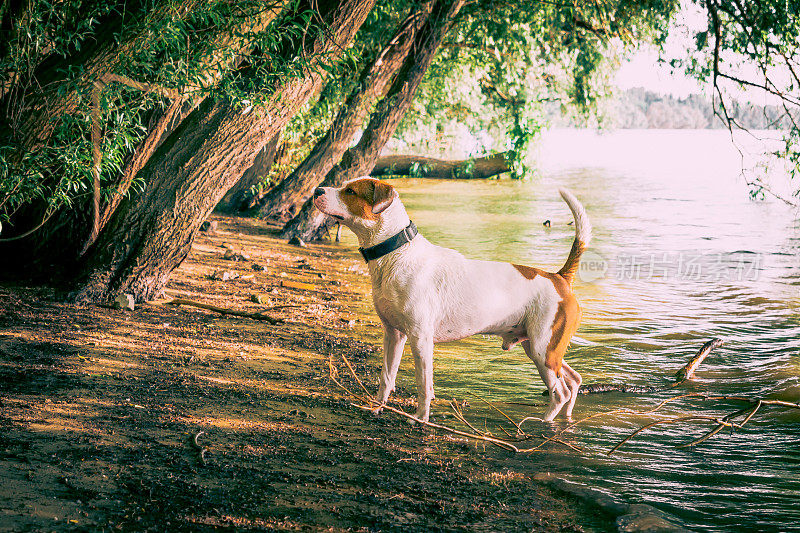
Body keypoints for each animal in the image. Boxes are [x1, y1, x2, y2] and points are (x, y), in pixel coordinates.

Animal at [310, 177, 588, 422]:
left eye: (350, 191)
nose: (317, 190)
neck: (397, 252)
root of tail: (559, 277)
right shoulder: (393, 334)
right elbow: (386, 377)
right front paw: (377, 408)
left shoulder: (420, 339)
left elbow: (424, 384)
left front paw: (421, 418)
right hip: (542, 349)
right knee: (574, 380)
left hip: (543, 350)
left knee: (560, 392)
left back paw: (543, 423)